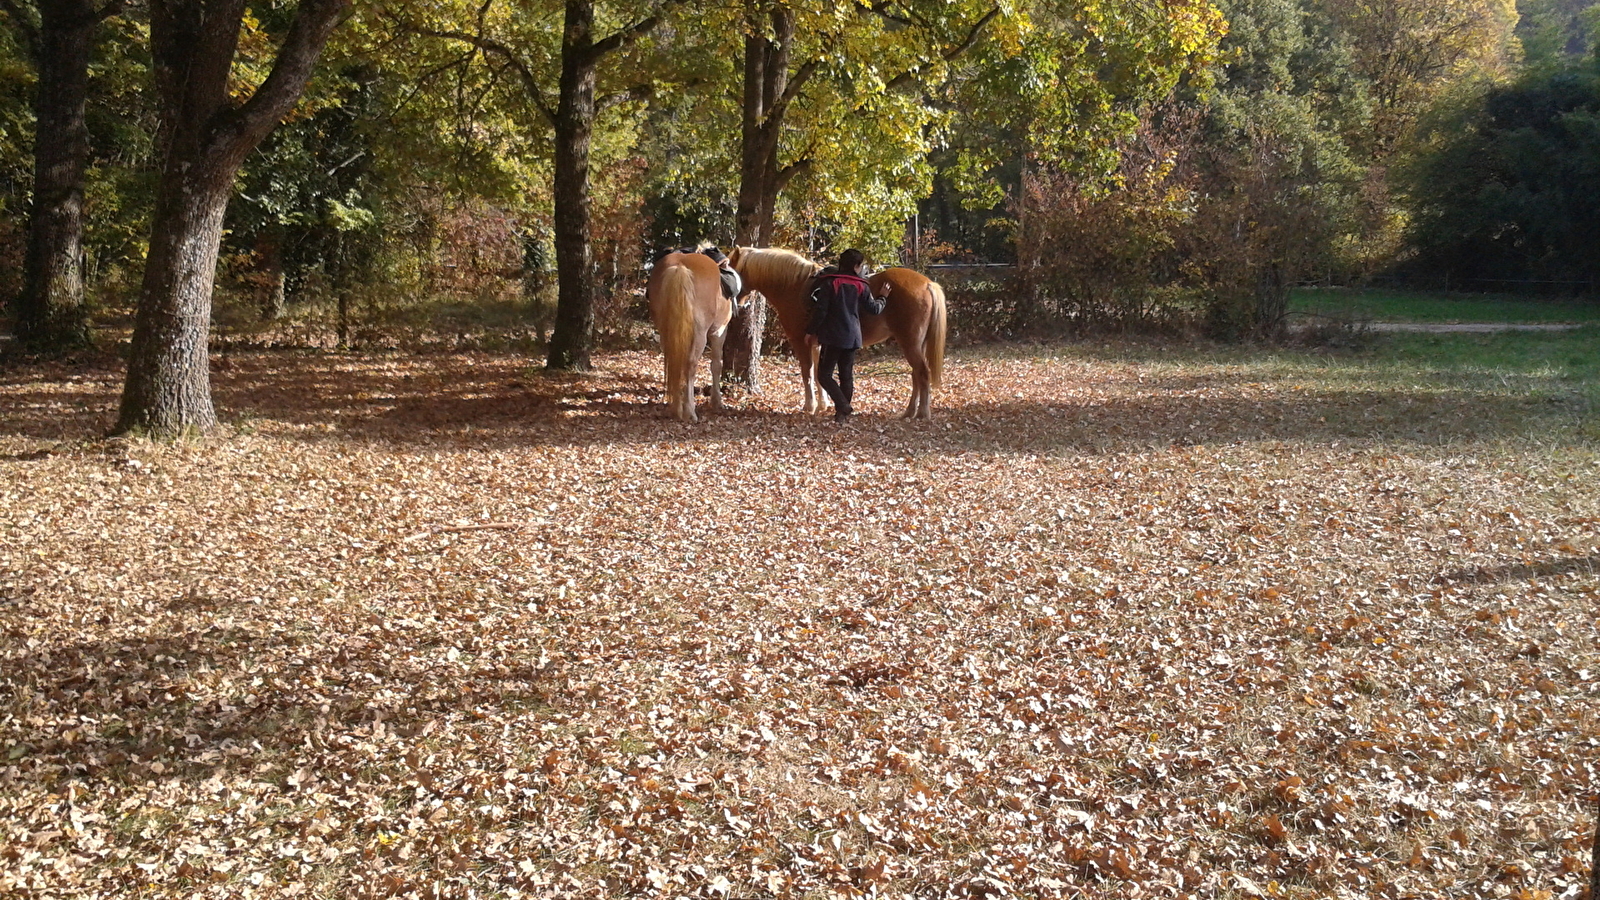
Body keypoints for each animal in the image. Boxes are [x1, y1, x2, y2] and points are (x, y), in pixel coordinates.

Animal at [643, 249, 732, 422]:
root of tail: (680, 267)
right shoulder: (719, 332)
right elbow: (716, 365)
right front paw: (717, 401)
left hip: (666, 331)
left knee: (674, 362)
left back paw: (676, 408)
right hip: (700, 334)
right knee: (690, 365)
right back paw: (690, 410)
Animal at [729, 246, 940, 419]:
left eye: (732, 272)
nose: (735, 303)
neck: (794, 287)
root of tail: (927, 283)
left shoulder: (800, 341)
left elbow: (807, 372)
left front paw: (810, 406)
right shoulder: (817, 343)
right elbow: (817, 373)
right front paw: (823, 404)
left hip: (909, 343)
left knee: (923, 373)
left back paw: (922, 413)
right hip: (916, 344)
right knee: (916, 374)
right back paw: (909, 412)